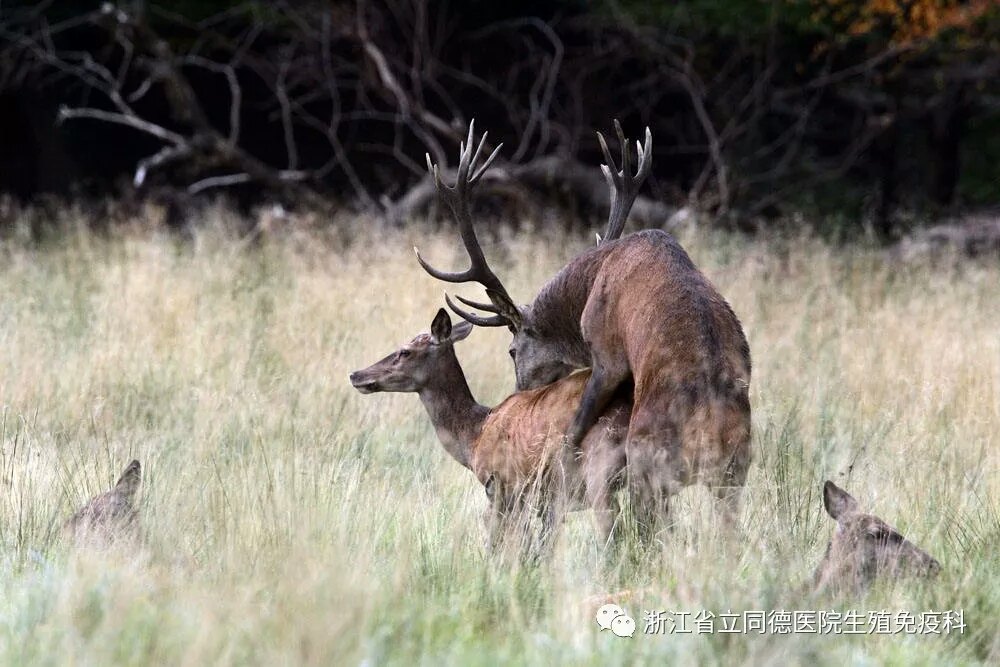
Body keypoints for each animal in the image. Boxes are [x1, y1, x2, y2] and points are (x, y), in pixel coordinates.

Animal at [414, 124, 752, 544]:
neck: (590, 282)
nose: (518, 399)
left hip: (647, 461)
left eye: (511, 350)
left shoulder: (604, 348)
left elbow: (577, 423)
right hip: (735, 469)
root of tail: (710, 432)